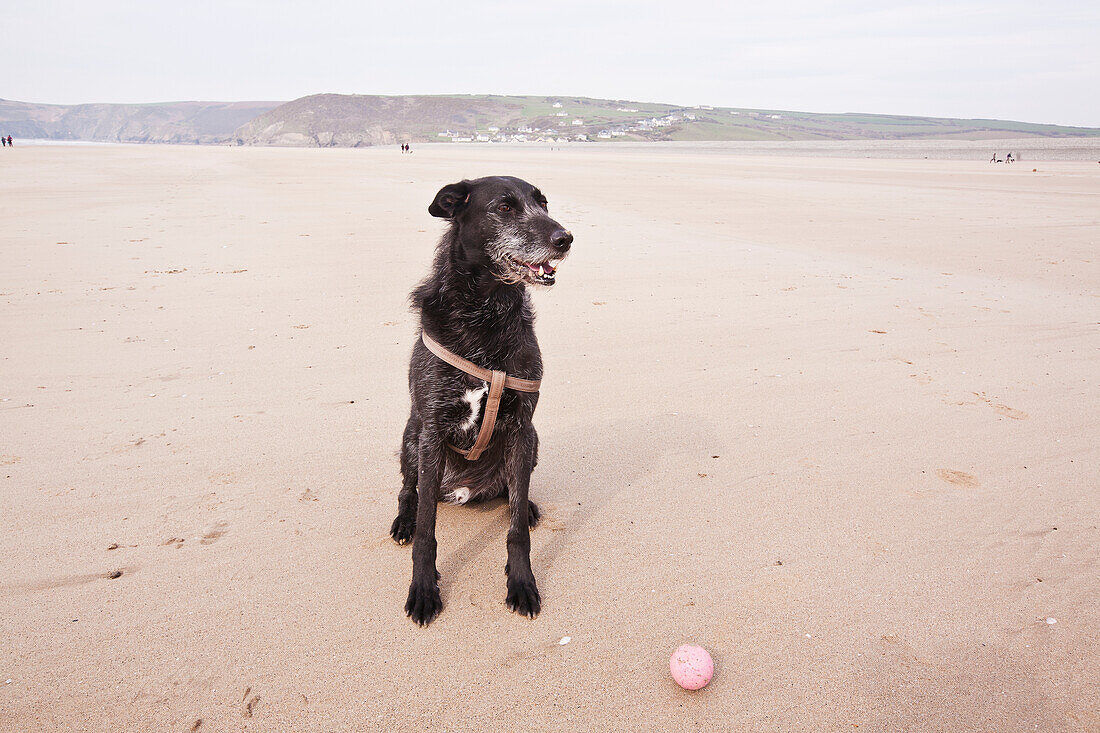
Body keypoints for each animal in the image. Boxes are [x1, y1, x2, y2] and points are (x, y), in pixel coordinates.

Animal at [389, 176, 576, 620]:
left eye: (543, 203)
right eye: (505, 208)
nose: (565, 239)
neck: (485, 312)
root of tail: (463, 489)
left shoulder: (523, 426)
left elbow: (516, 532)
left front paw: (522, 582)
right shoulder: (432, 430)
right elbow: (427, 531)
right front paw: (423, 588)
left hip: (532, 443)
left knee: (514, 492)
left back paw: (526, 505)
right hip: (410, 438)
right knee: (409, 490)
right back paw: (403, 521)